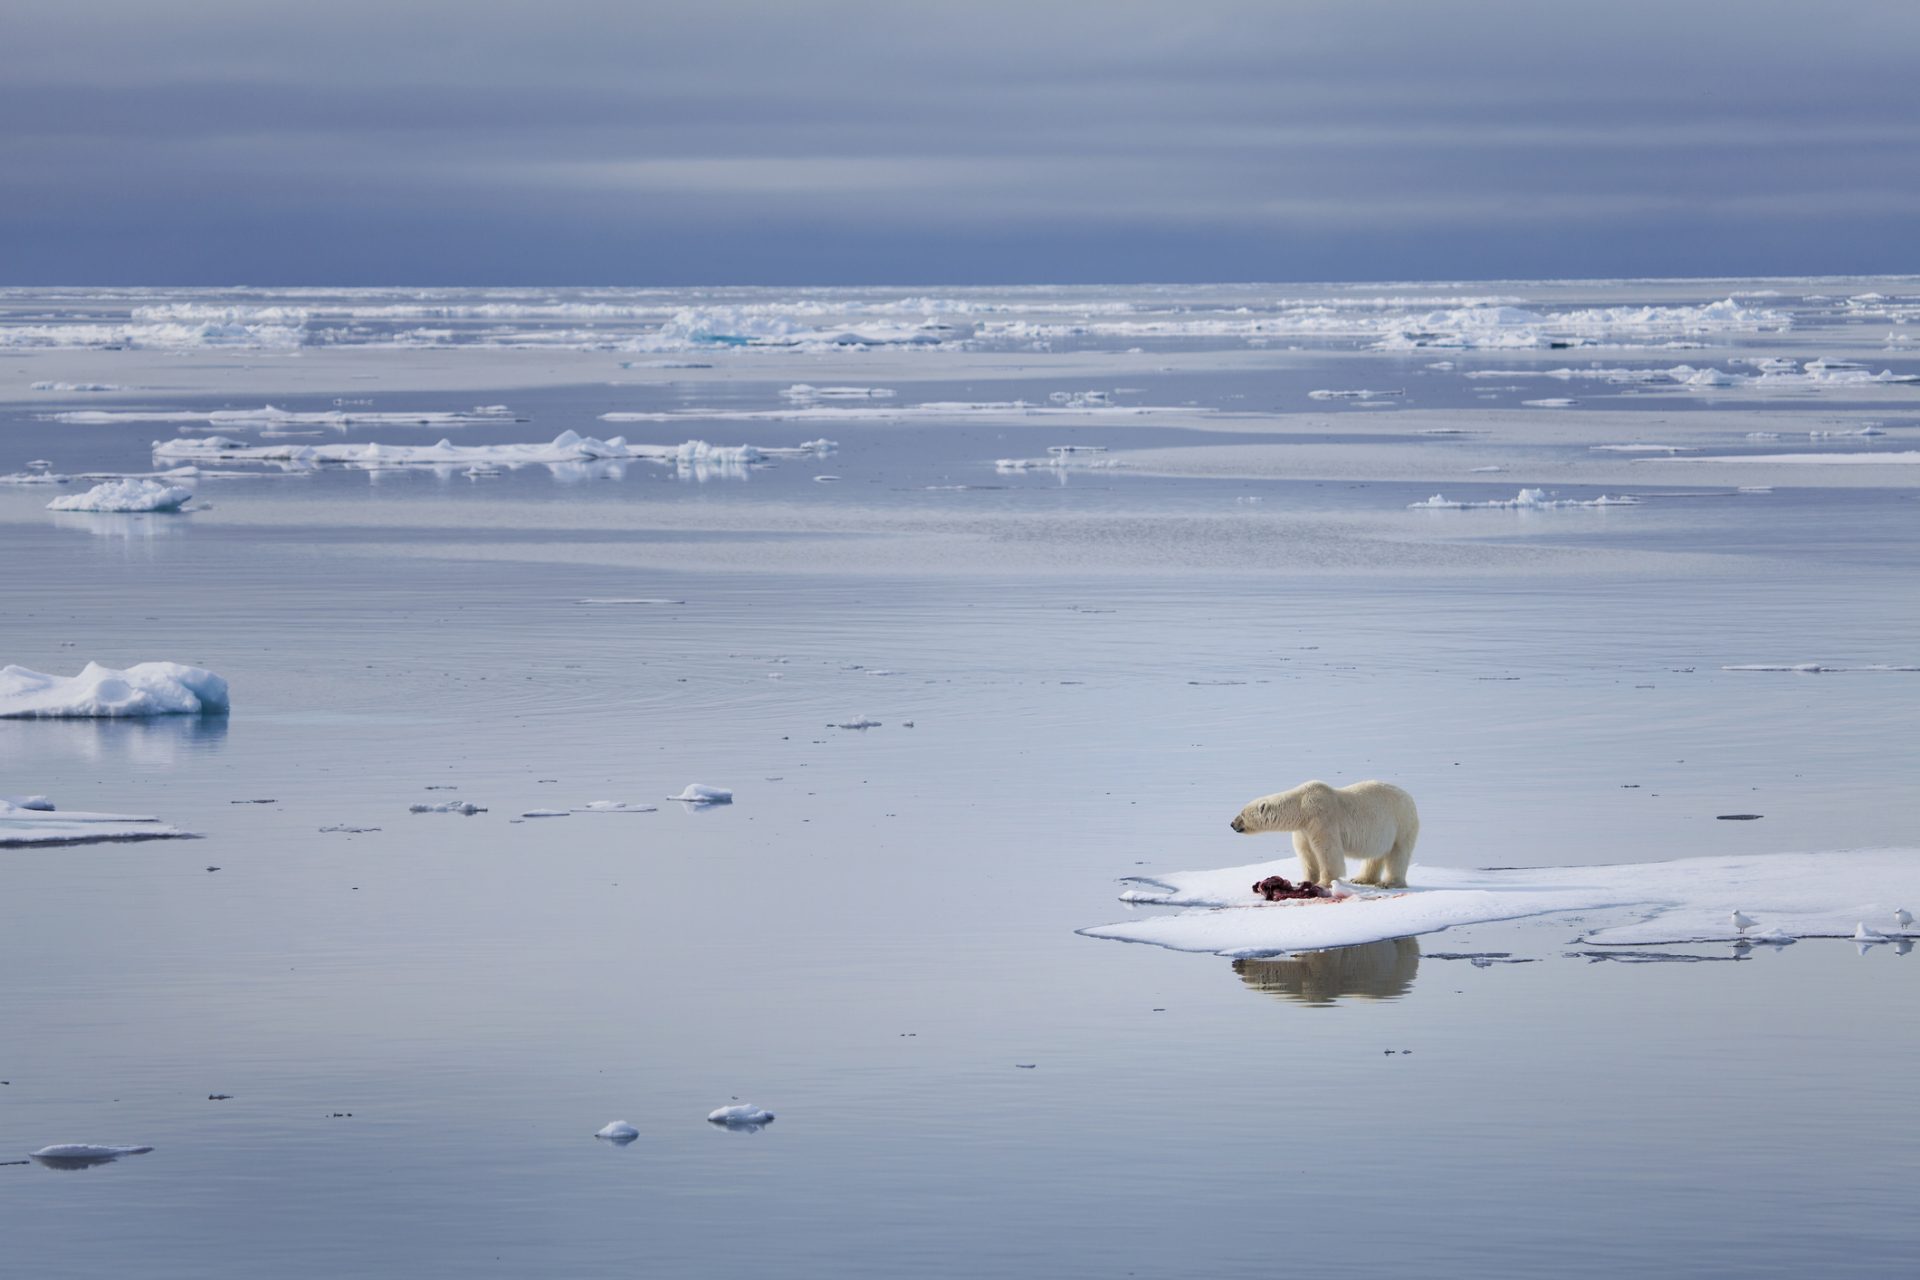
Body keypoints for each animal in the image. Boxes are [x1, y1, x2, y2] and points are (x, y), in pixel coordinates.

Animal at [1221, 782, 1420, 890]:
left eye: (1242, 814)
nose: (1232, 824)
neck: (1301, 806)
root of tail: (1410, 798)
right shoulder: (1302, 829)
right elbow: (1306, 853)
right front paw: (1306, 880)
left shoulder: (1321, 817)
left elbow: (1327, 850)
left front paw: (1324, 882)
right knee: (1375, 855)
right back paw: (1362, 878)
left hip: (1402, 822)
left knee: (1398, 853)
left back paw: (1389, 883)